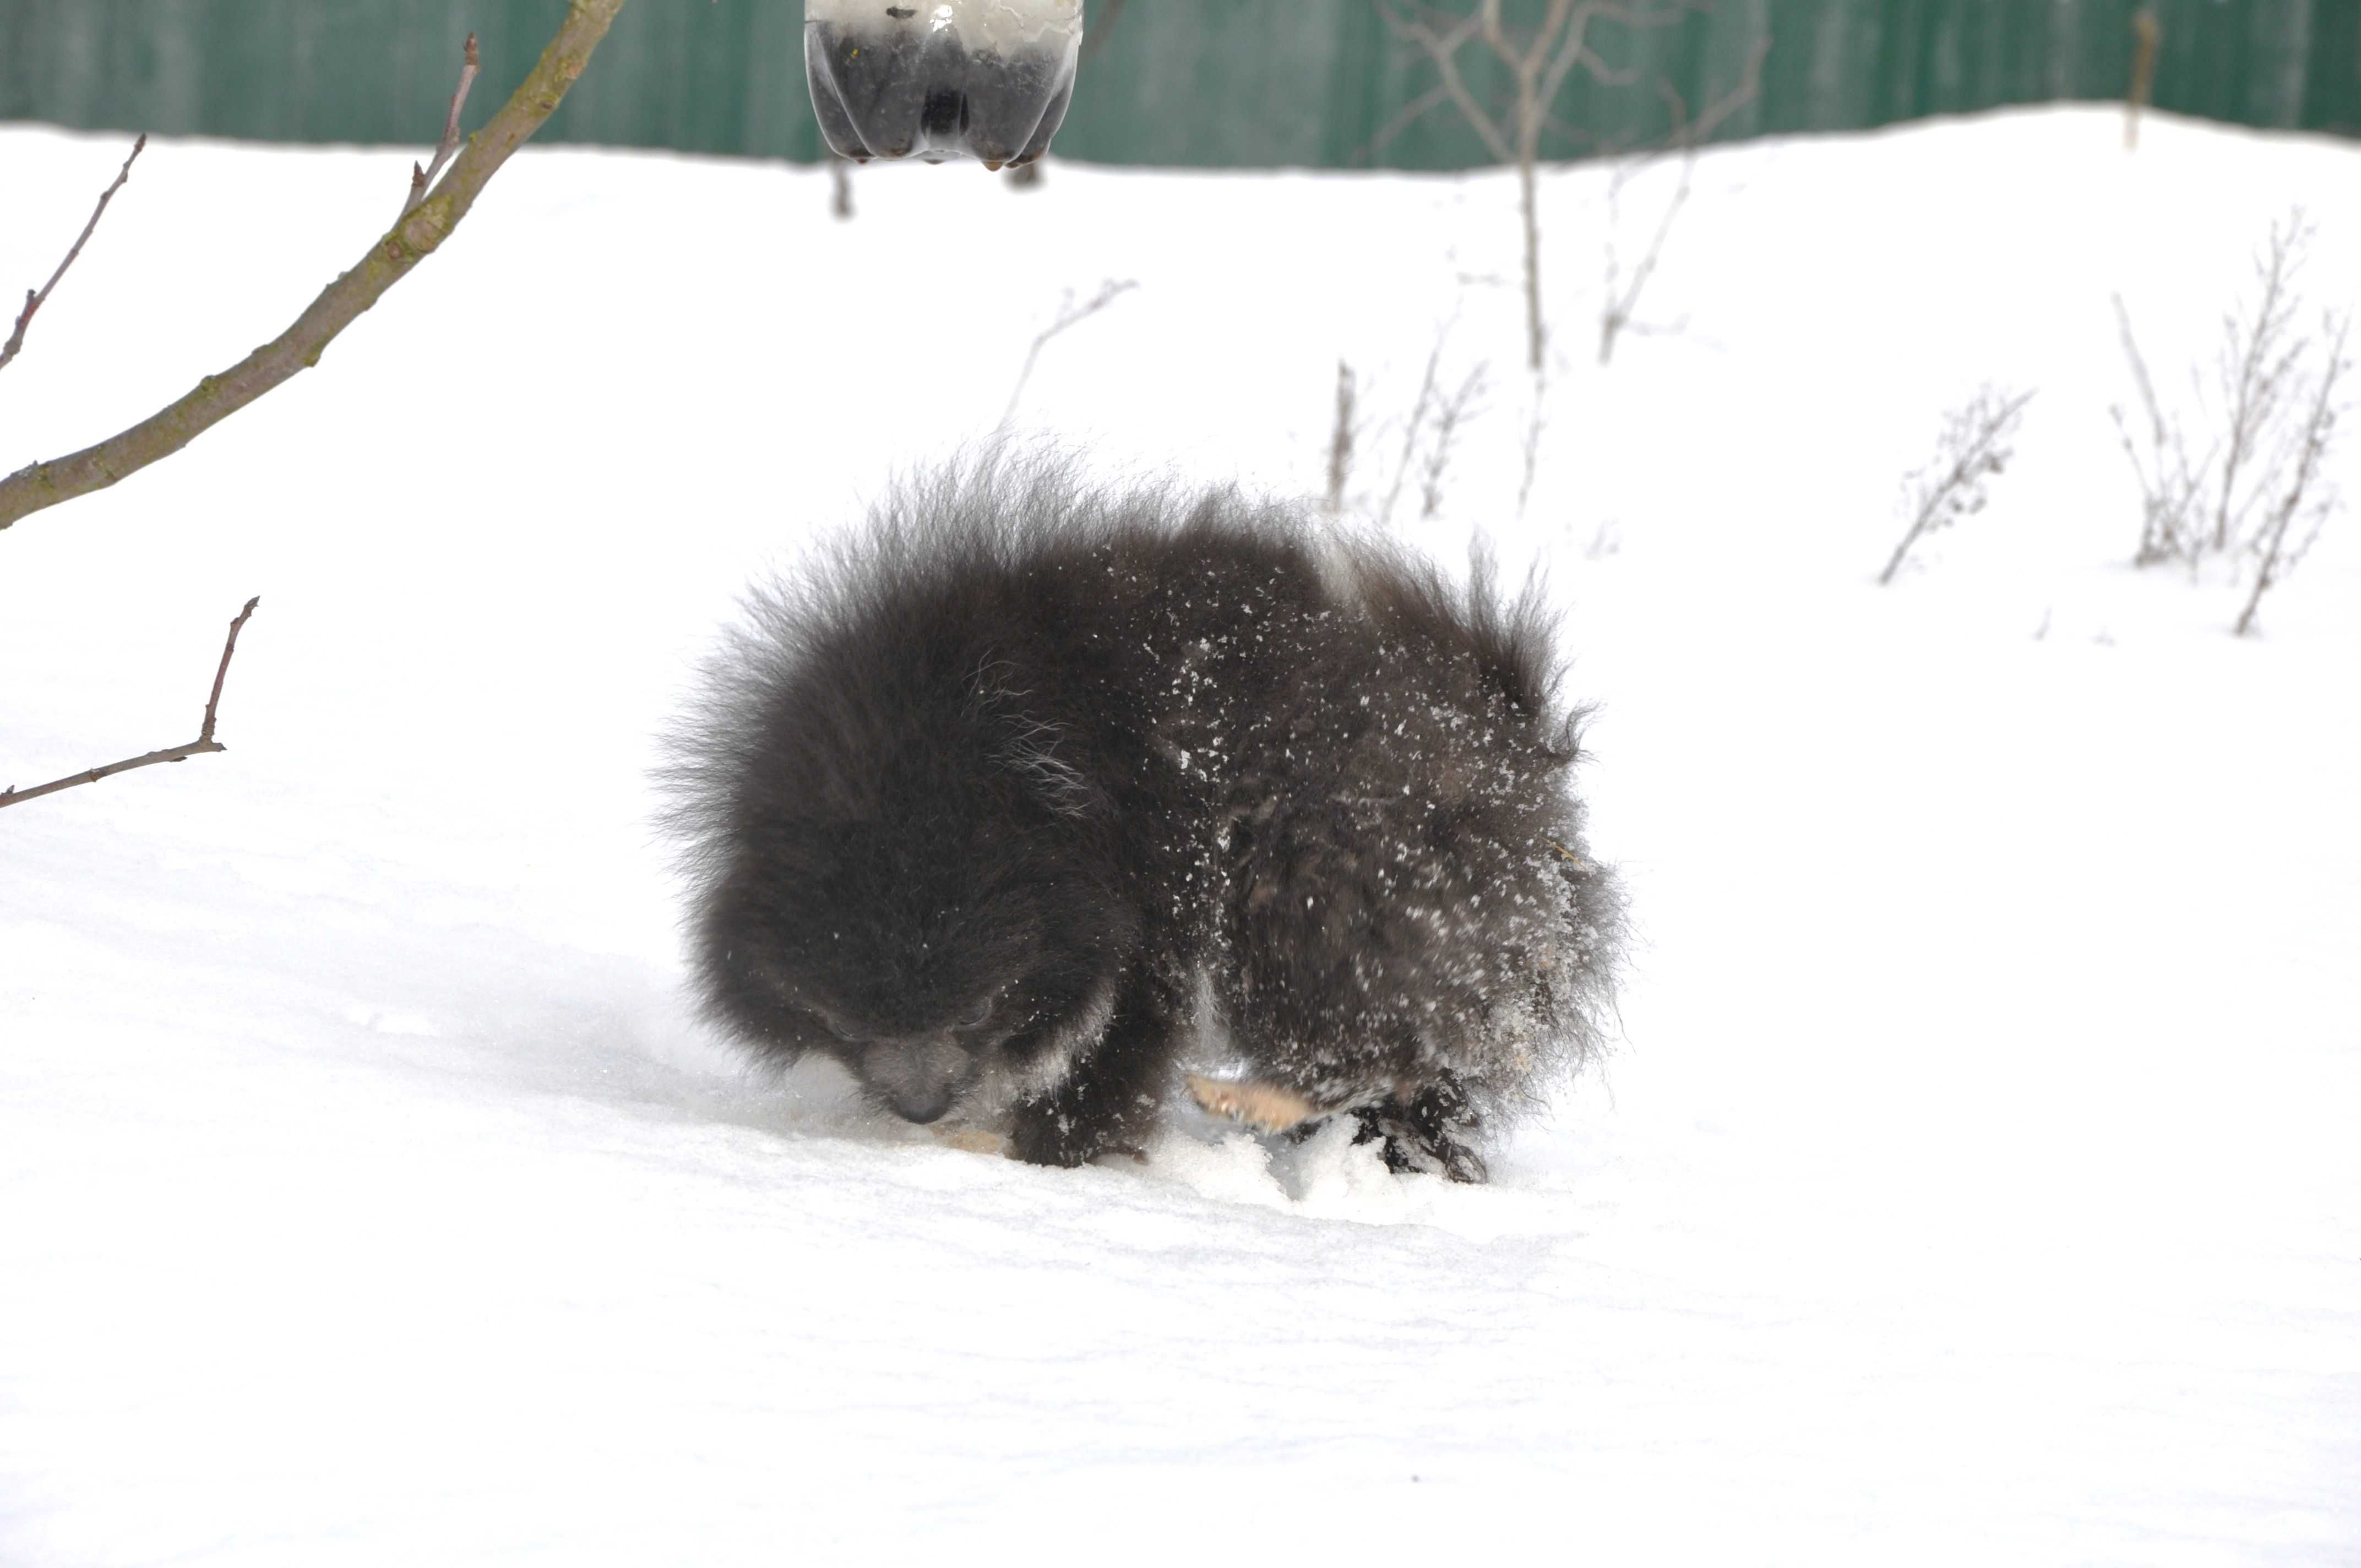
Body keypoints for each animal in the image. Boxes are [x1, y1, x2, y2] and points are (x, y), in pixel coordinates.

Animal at [666, 460, 1624, 1180]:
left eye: (979, 1012)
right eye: (851, 1022)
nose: (921, 1104)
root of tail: (1512, 731)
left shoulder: (1148, 874)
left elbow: (1124, 1027)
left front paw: (1052, 1148)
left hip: (1352, 856)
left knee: (1353, 1004)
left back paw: (1268, 1098)